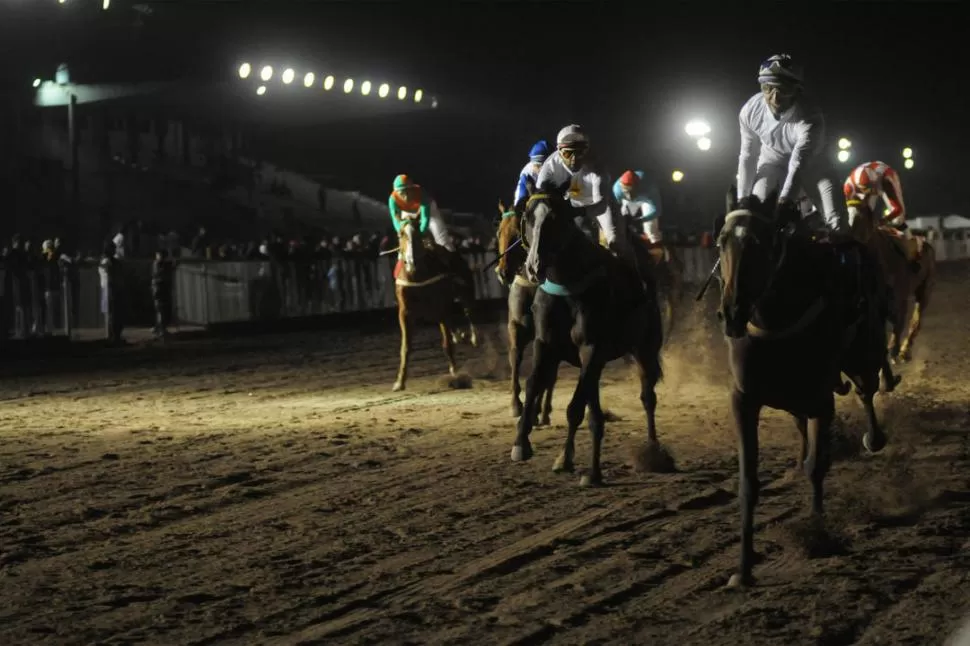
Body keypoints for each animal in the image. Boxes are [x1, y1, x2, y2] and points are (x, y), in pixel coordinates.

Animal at [388, 216, 474, 394]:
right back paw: (459, 335)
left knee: (469, 312)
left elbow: (446, 344)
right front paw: (399, 382)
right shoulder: (405, 313)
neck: (417, 276)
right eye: (401, 234)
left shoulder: (441, 307)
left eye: (418, 233)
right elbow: (405, 347)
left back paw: (473, 337)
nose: (411, 262)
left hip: (465, 293)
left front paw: (455, 374)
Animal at [496, 201, 556, 426]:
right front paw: (515, 405)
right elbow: (515, 356)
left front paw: (535, 410)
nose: (502, 272)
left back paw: (544, 410)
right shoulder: (516, 325)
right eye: (498, 233)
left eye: (516, 234)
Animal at [506, 191, 672, 486]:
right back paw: (568, 458)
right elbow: (535, 383)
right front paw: (522, 443)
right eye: (527, 217)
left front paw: (592, 472)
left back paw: (653, 452)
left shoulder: (591, 348)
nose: (534, 266)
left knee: (647, 397)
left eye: (555, 218)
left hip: (644, 349)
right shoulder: (545, 343)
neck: (567, 286)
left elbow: (576, 409)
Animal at [712, 195, 892, 588]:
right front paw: (742, 569)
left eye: (761, 243)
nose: (732, 313)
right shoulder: (743, 400)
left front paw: (817, 535)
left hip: (864, 354)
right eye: (721, 241)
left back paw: (873, 438)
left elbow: (817, 467)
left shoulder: (821, 401)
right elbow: (748, 483)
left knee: (867, 390)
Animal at [844, 202, 932, 364]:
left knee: (915, 321)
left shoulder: (899, 300)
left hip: (924, 291)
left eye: (861, 216)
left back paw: (904, 352)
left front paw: (895, 352)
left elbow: (899, 325)